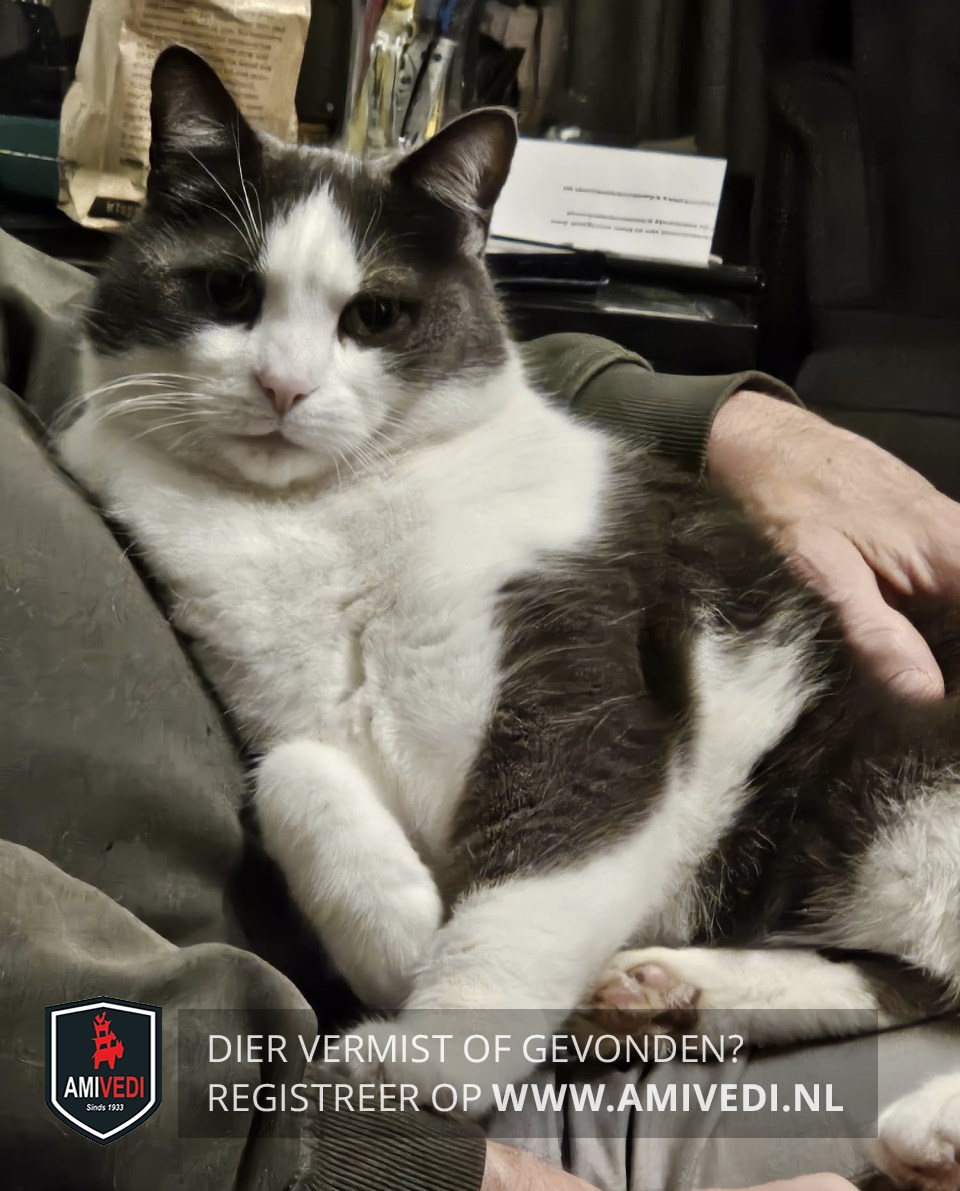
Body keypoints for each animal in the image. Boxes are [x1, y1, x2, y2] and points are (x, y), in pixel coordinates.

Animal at [58, 46, 959, 1189]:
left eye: (375, 316)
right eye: (227, 290)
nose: (282, 387)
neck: (316, 514)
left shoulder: (590, 669)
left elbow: (539, 873)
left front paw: (417, 1066)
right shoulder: (267, 689)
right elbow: (291, 769)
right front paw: (402, 932)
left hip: (896, 781)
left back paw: (928, 1120)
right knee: (908, 978)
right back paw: (663, 990)